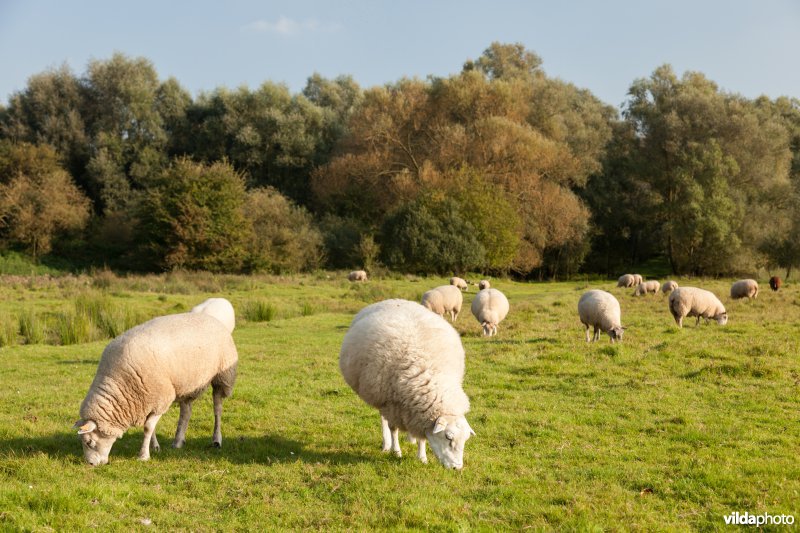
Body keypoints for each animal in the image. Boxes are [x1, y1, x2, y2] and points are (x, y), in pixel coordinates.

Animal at [74, 312, 238, 466]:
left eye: (89, 442)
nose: (90, 464)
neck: (117, 382)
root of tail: (211, 318)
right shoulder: (147, 399)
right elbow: (151, 427)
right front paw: (154, 447)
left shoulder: (161, 398)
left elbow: (148, 428)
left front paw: (144, 455)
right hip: (186, 385)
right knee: (186, 413)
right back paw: (178, 441)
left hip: (222, 377)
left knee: (217, 409)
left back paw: (216, 439)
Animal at [340, 300, 476, 470]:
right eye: (448, 437)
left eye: (465, 440)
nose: (457, 468)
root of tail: (392, 300)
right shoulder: (390, 403)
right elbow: (393, 429)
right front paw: (396, 451)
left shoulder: (419, 415)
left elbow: (422, 436)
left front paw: (422, 456)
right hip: (379, 395)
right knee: (384, 420)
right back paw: (386, 444)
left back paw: (410, 439)